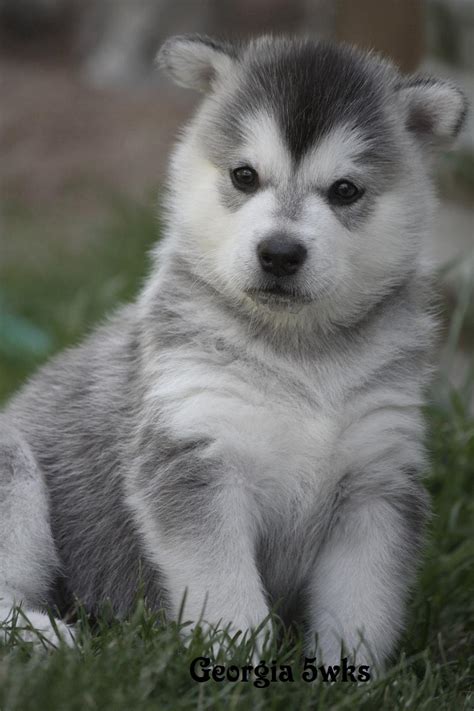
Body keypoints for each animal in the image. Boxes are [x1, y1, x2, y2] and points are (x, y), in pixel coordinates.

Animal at [0, 33, 466, 668]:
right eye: (245, 176)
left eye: (345, 190)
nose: (280, 253)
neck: (301, 354)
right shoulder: (196, 459)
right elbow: (224, 589)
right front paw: (238, 659)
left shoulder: (377, 482)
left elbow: (360, 603)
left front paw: (349, 671)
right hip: (13, 469)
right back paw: (49, 638)